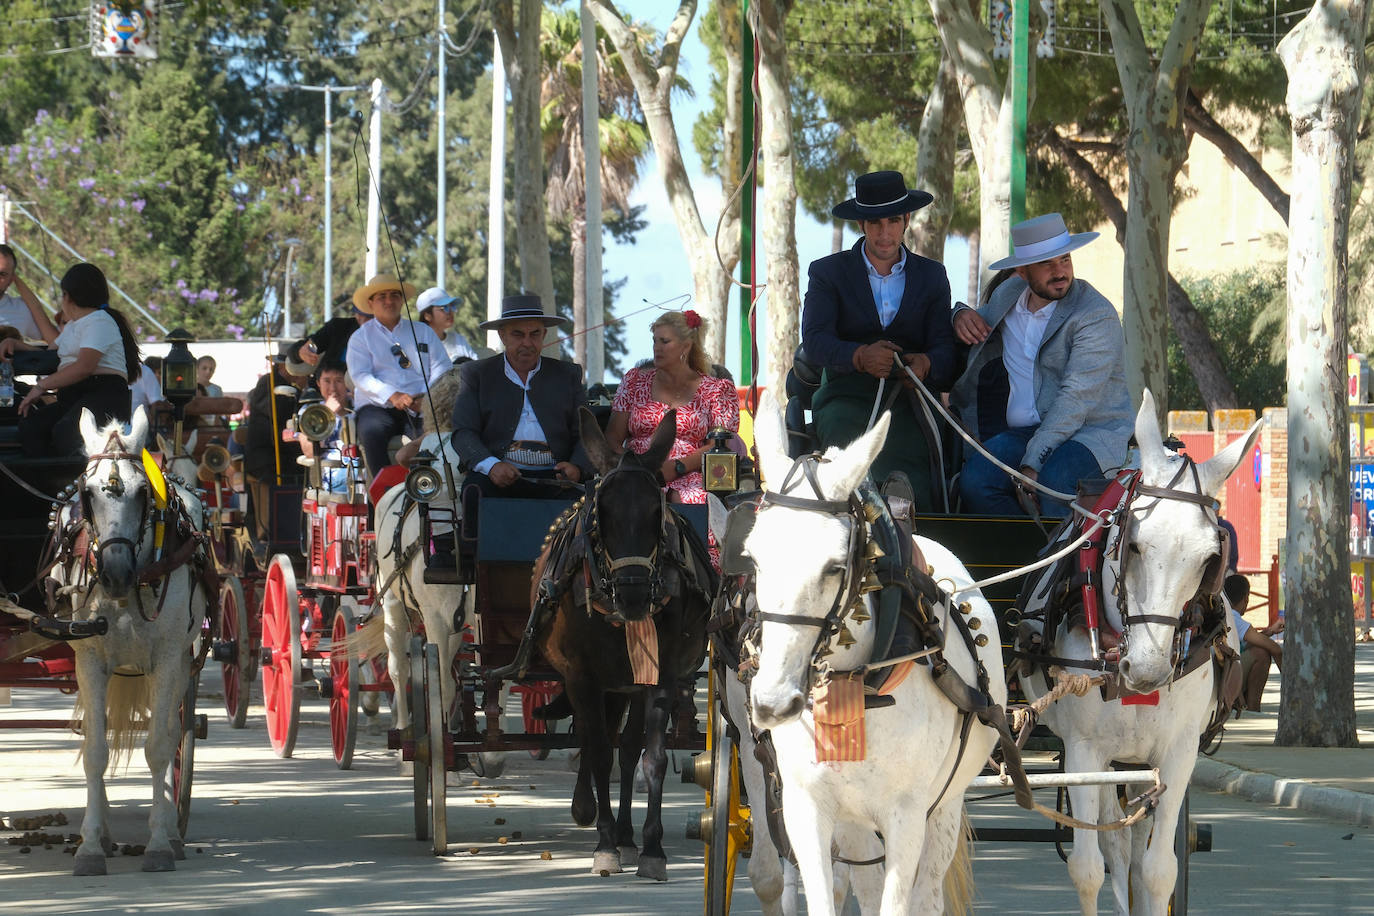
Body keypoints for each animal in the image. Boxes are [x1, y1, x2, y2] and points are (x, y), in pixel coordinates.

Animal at [64, 409, 208, 873]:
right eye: (87, 492)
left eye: (144, 492)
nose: (115, 574)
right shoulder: (90, 658)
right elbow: (95, 750)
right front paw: (90, 847)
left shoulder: (167, 659)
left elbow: (160, 747)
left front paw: (160, 844)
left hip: (180, 665)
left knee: (171, 730)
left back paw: (170, 832)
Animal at [530, 409, 714, 878]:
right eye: (602, 513)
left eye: (656, 511)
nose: (633, 594)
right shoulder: (582, 678)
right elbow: (597, 752)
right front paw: (605, 843)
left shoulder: (661, 673)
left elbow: (653, 757)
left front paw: (651, 848)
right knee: (596, 738)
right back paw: (593, 814)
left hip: (627, 683)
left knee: (627, 747)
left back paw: (630, 837)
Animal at [741, 395, 1000, 916]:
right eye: (754, 559)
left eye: (835, 567)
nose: (773, 703)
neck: (857, 682)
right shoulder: (806, 809)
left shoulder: (908, 815)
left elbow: (898, 903)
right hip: (855, 821)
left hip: (945, 807)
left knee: (927, 894)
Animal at [1016, 390, 1258, 916]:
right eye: (1136, 545)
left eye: (1211, 558)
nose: (1146, 669)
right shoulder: (1083, 751)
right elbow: (1088, 868)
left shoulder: (1178, 753)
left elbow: (1158, 870)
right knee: (1114, 846)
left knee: (1135, 845)